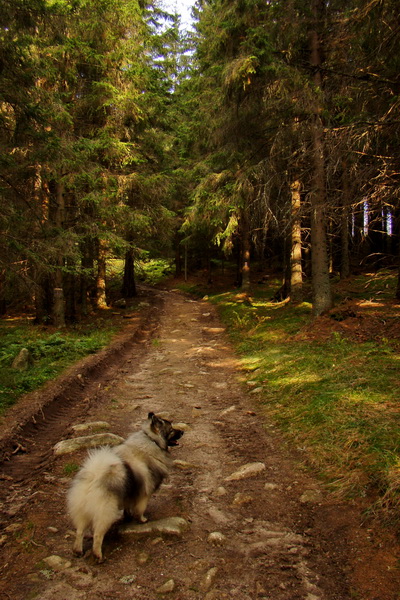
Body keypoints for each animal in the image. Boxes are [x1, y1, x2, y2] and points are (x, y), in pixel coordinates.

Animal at [67, 410, 183, 560]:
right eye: (171, 429)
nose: (182, 431)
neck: (152, 441)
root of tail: (93, 477)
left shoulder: (130, 493)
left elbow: (128, 507)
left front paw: (127, 517)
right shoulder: (144, 494)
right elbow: (140, 509)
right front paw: (142, 520)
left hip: (82, 511)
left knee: (80, 531)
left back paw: (77, 550)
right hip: (106, 512)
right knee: (98, 535)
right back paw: (98, 555)